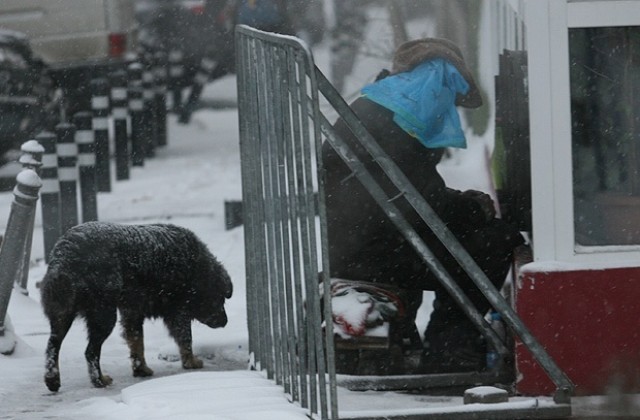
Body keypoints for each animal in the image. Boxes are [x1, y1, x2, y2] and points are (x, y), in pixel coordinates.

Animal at [39, 221, 232, 392]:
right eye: (221, 298)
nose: (225, 321)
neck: (198, 269)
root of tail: (64, 255)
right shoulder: (177, 311)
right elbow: (185, 339)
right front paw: (190, 362)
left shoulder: (132, 312)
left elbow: (137, 342)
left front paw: (140, 369)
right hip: (103, 315)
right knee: (90, 352)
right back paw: (99, 381)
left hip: (62, 314)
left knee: (52, 346)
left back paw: (52, 380)